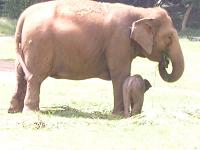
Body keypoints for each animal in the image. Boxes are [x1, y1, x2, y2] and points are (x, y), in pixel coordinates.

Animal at [9, 0, 184, 113]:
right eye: (169, 37)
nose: (165, 62)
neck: (142, 12)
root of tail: (24, 15)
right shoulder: (118, 41)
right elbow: (120, 74)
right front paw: (119, 114)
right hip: (39, 45)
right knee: (35, 77)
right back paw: (32, 112)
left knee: (20, 74)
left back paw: (14, 110)